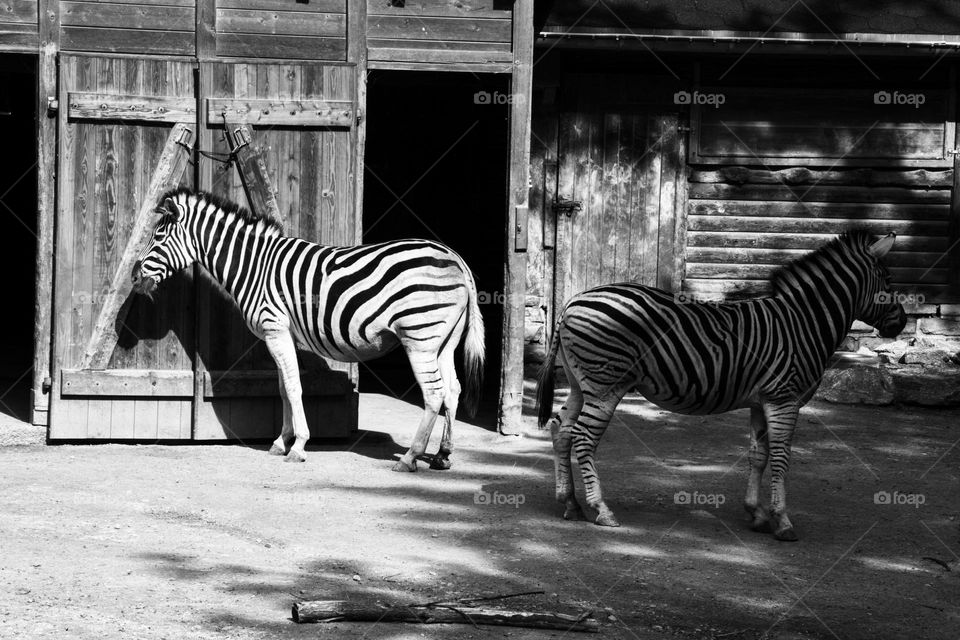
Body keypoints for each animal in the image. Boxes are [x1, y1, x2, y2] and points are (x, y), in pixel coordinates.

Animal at [131, 185, 484, 470]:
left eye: (158, 236)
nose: (134, 277)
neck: (254, 266)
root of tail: (456, 258)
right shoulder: (280, 333)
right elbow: (283, 388)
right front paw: (280, 441)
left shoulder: (274, 327)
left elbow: (293, 387)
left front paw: (298, 446)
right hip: (443, 340)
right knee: (452, 389)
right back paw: (442, 455)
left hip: (419, 335)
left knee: (434, 392)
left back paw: (411, 457)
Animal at [536, 230, 904, 540]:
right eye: (887, 280)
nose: (900, 324)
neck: (804, 323)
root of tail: (571, 302)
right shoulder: (784, 398)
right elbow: (781, 456)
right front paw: (782, 520)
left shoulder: (762, 400)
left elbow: (759, 455)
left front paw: (756, 514)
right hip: (605, 385)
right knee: (583, 438)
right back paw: (601, 509)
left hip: (580, 384)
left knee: (561, 430)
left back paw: (570, 502)